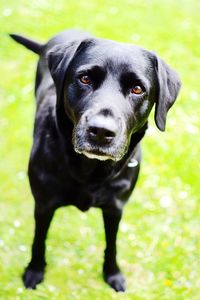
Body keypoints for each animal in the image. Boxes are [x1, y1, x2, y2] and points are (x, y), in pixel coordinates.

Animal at [10, 29, 180, 292]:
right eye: (85, 79)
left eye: (138, 89)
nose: (101, 131)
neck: (90, 170)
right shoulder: (44, 205)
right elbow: (39, 240)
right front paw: (34, 271)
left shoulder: (115, 208)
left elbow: (112, 245)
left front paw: (113, 274)